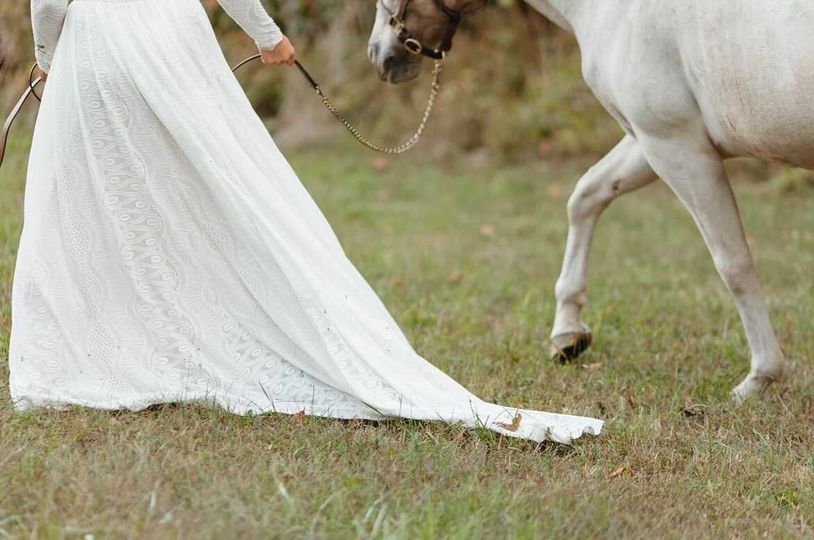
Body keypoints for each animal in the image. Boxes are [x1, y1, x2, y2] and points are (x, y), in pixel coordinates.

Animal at [370, 0, 814, 400]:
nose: (379, 54)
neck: (616, 7)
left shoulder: (678, 147)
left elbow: (733, 264)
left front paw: (760, 377)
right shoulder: (651, 143)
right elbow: (586, 195)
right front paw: (567, 335)